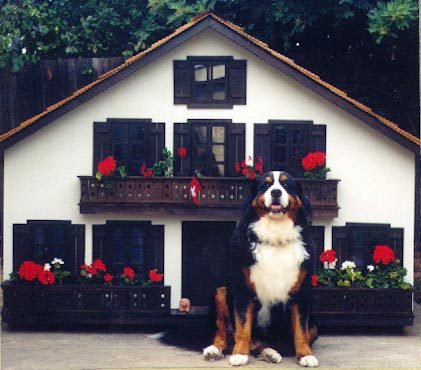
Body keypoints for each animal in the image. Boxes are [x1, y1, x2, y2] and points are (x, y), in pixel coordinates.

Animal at [202, 171, 316, 368]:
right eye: (266, 185)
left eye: (286, 185)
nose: (276, 192)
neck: (276, 237)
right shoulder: (243, 290)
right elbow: (243, 327)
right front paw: (239, 354)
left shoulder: (301, 292)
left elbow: (301, 330)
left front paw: (305, 355)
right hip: (221, 292)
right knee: (223, 332)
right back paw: (214, 350)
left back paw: (270, 353)